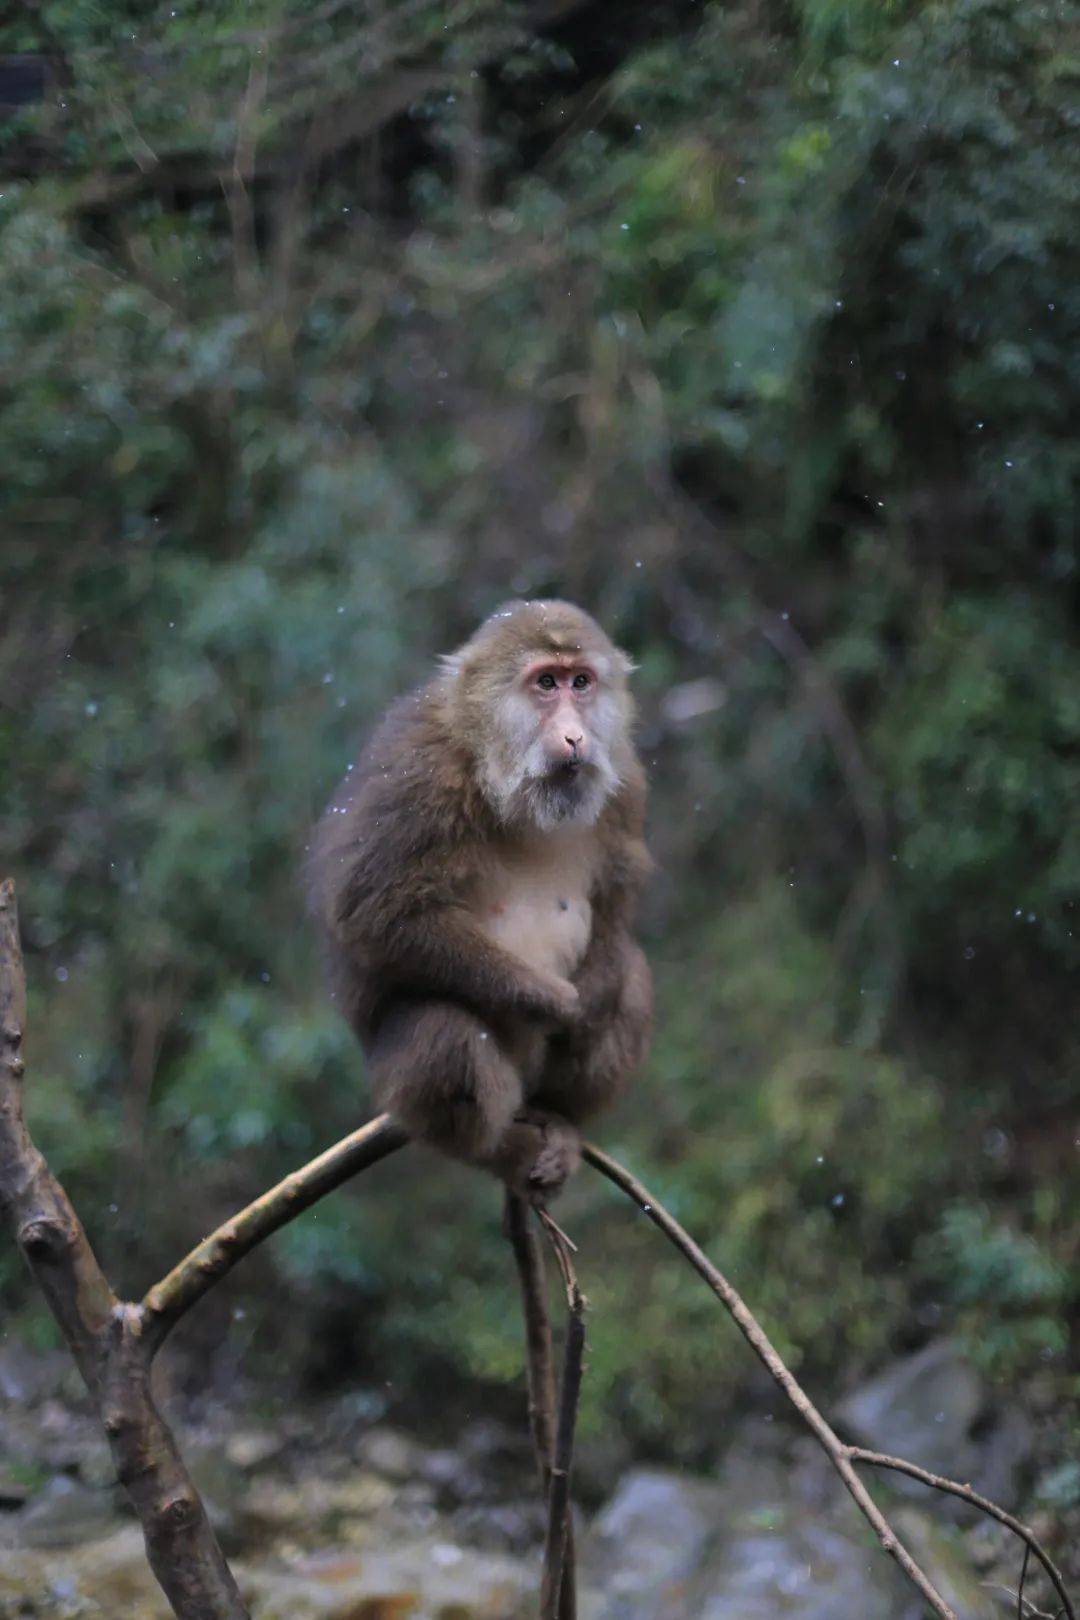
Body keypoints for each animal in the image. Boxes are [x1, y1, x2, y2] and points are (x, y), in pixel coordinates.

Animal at [307, 599, 654, 1205]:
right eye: (545, 683)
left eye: (581, 683)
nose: (574, 736)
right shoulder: (420, 774)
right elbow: (375, 914)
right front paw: (555, 1002)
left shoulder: (625, 783)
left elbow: (616, 901)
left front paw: (587, 1004)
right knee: (442, 1029)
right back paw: (500, 1152)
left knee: (629, 980)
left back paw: (561, 1118)